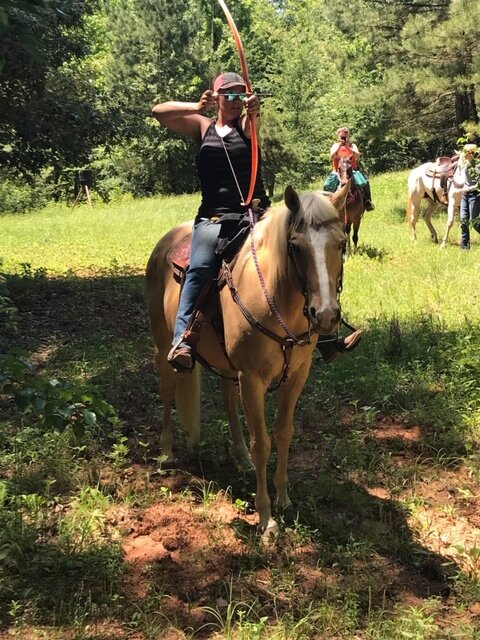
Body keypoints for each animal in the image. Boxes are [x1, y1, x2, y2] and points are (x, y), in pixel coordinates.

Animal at [146, 183, 349, 541]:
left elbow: (283, 433)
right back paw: (167, 452)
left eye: (341, 243)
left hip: (229, 367)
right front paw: (266, 519)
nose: (325, 315)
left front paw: (283, 499)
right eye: (295, 247)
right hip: (163, 347)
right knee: (168, 393)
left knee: (228, 403)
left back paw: (240, 460)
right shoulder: (252, 378)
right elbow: (262, 443)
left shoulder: (297, 375)